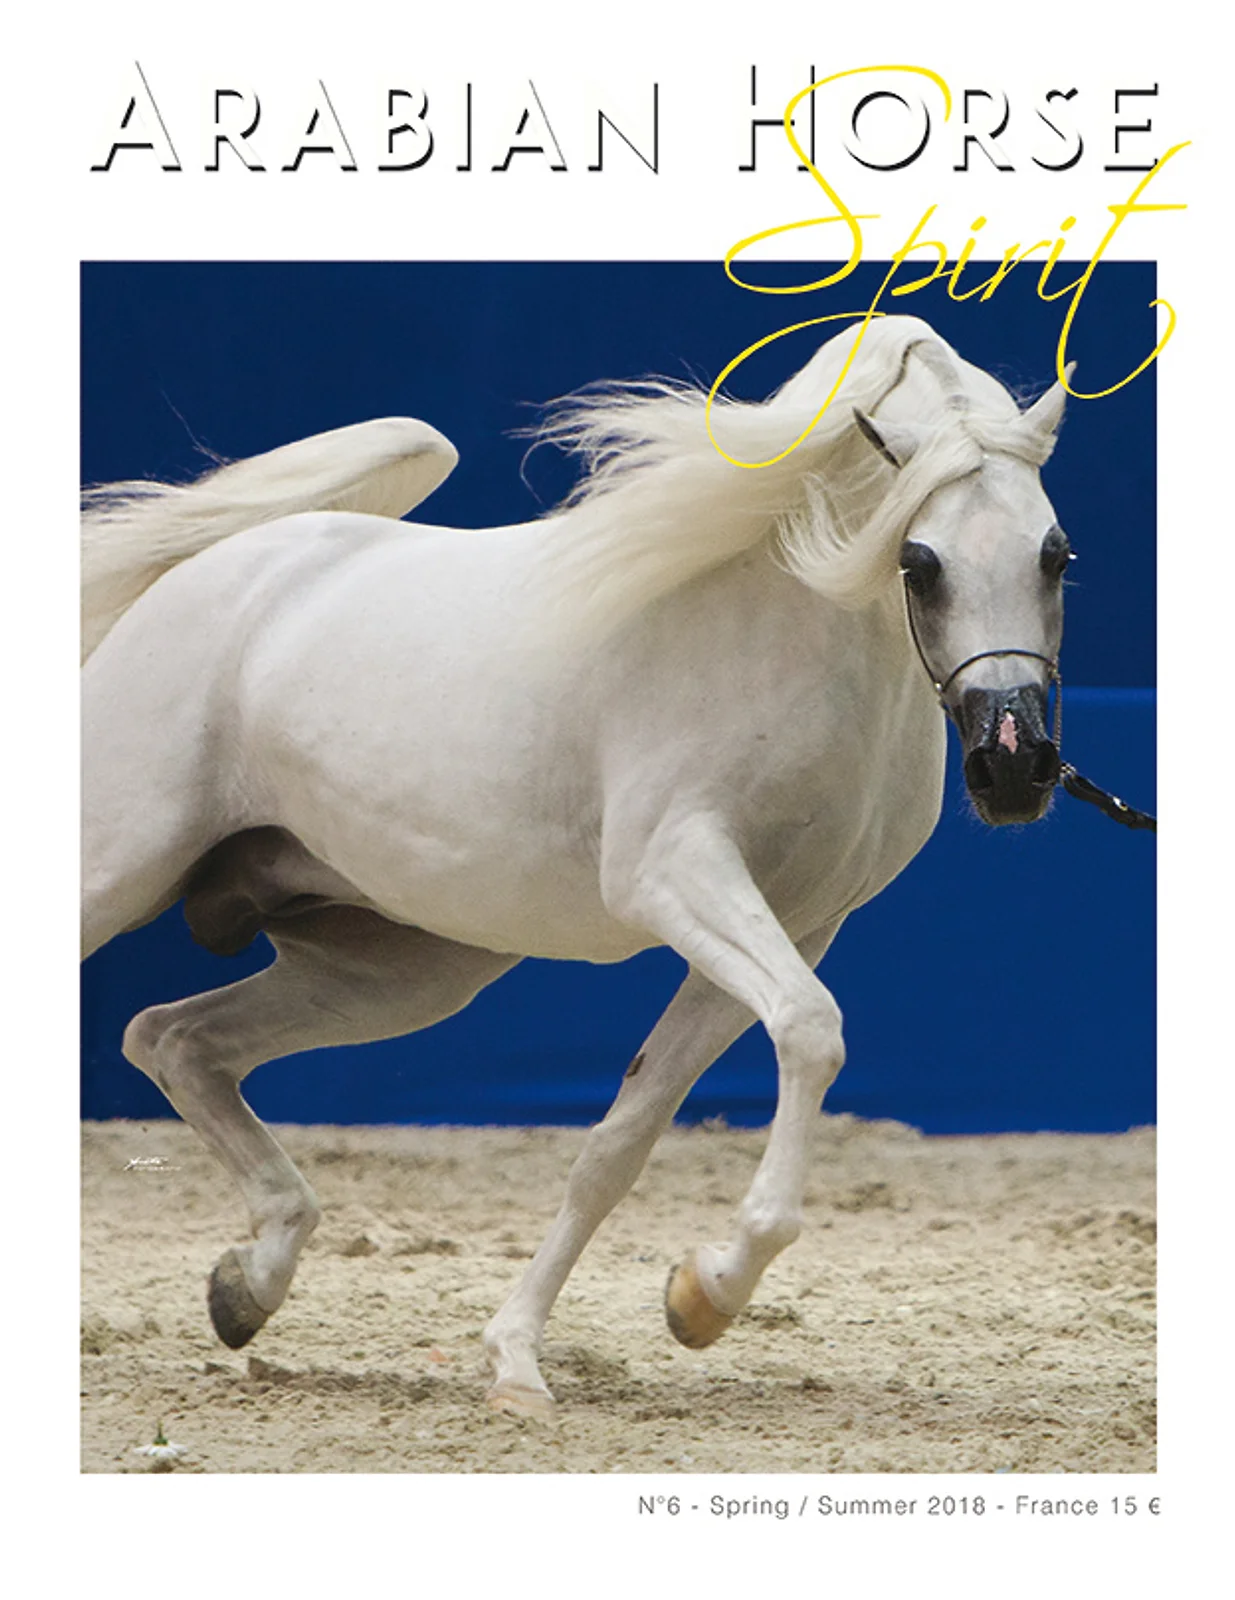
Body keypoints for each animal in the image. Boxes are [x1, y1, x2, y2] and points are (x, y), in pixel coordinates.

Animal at [82, 313, 1075, 1417]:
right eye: (918, 561)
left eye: (1054, 555)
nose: (1014, 767)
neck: (783, 631)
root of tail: (217, 568)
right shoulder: (674, 873)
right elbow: (811, 1032)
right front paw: (705, 1284)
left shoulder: (793, 922)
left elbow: (619, 1141)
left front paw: (624, 1322)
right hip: (112, 872)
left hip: (396, 969)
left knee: (171, 1039)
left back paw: (247, 1285)